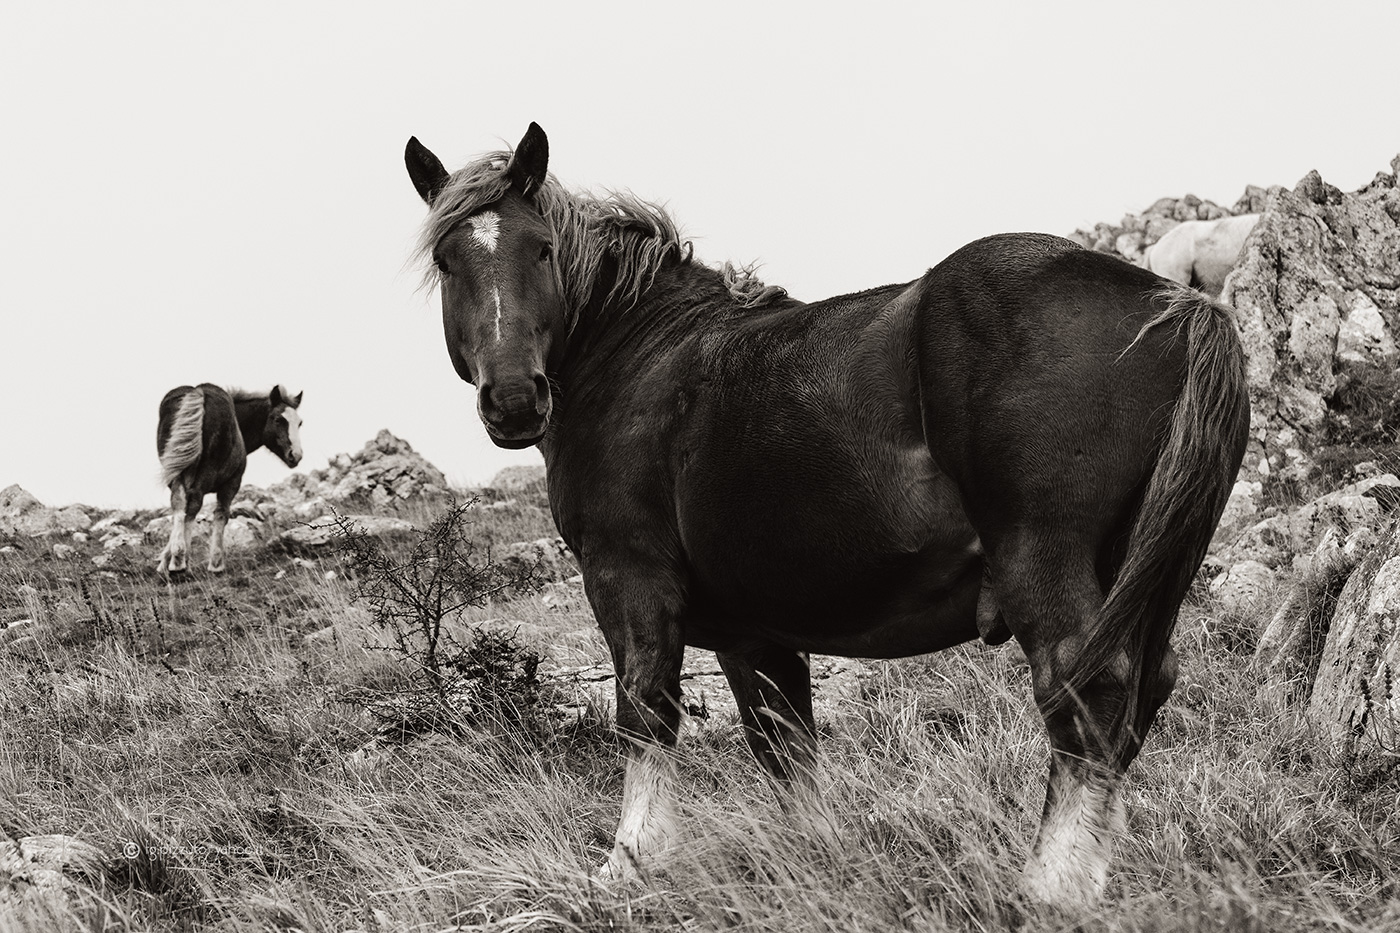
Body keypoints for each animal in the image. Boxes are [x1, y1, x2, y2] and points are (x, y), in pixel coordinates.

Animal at [155, 383, 303, 574]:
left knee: (178, 502)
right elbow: (221, 515)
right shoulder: (232, 483)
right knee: (194, 504)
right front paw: (216, 563)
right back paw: (181, 560)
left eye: (299, 423)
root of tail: (198, 393)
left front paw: (164, 561)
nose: (296, 455)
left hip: (176, 472)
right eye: (278, 419)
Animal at [404, 123, 1250, 907]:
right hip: (1148, 576)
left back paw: (1050, 888)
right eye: (448, 259)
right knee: (1141, 692)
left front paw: (627, 862)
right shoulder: (754, 631)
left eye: (542, 250)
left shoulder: (628, 581)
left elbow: (647, 712)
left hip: (1045, 560)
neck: (639, 360)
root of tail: (1177, 302)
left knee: (1089, 693)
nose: (515, 399)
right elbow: (784, 745)